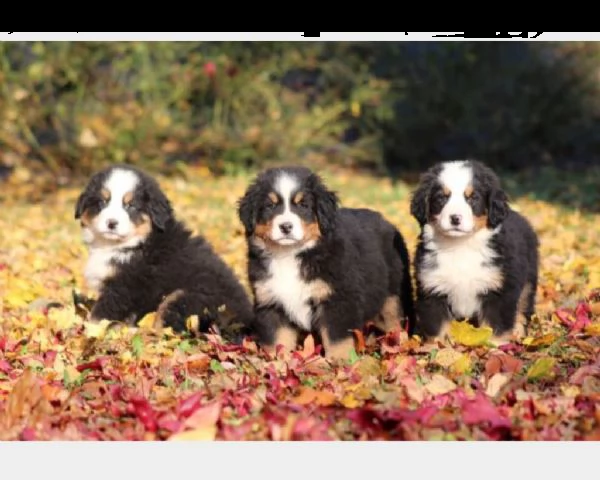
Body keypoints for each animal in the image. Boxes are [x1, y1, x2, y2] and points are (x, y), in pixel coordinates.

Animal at [75, 163, 253, 340]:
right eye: (102, 202)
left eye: (131, 205)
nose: (111, 223)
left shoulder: (124, 286)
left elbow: (99, 315)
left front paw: (88, 332)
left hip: (185, 298)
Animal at [237, 165, 414, 360]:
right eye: (270, 206)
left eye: (303, 205)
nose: (286, 227)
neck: (290, 254)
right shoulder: (271, 301)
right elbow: (278, 340)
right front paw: (278, 361)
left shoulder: (337, 299)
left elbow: (337, 339)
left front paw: (339, 362)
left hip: (393, 295)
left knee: (395, 321)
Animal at [408, 159, 540, 344]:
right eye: (441, 198)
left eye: (473, 198)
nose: (455, 218)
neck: (461, 246)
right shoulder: (432, 287)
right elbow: (438, 327)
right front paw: (436, 348)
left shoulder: (499, 288)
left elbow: (496, 326)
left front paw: (496, 347)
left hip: (528, 279)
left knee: (523, 307)